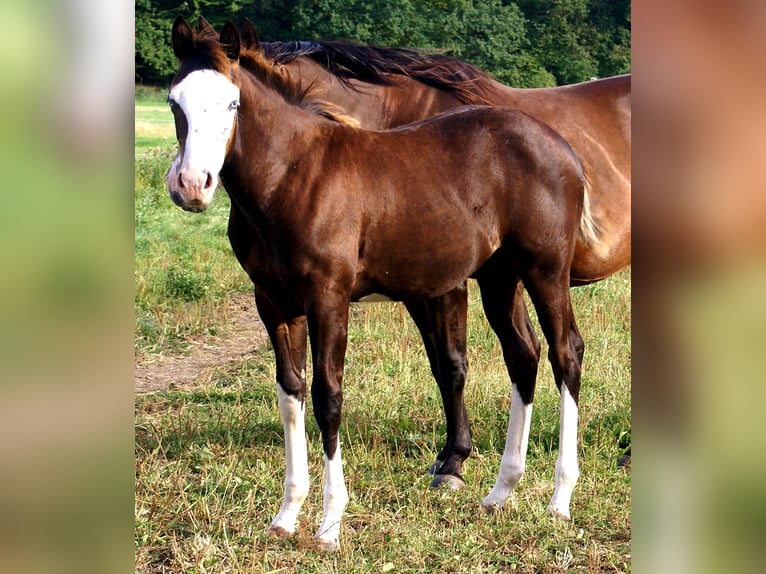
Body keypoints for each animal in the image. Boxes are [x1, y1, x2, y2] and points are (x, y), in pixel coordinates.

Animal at [167, 16, 599, 550]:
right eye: (174, 102)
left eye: (232, 103)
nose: (191, 185)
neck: (293, 174)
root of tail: (563, 149)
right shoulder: (274, 302)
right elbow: (291, 394)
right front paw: (286, 516)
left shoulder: (328, 296)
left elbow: (328, 397)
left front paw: (329, 524)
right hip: (499, 274)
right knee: (524, 354)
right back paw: (501, 491)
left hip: (545, 269)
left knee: (566, 352)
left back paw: (560, 499)